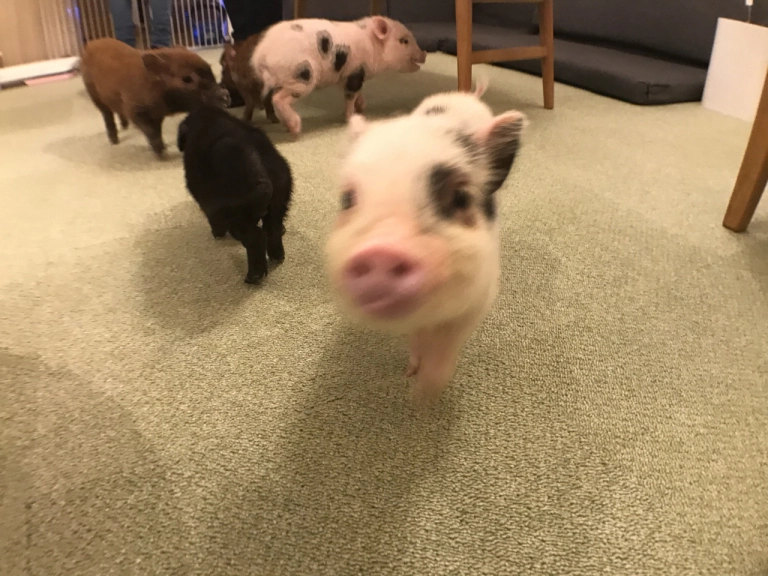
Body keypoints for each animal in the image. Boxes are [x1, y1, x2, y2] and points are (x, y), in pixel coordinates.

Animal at [80, 37, 230, 157]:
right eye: (187, 79)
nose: (225, 94)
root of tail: (91, 44)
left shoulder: (157, 115)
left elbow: (157, 130)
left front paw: (164, 148)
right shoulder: (135, 110)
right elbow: (151, 131)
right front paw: (162, 153)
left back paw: (125, 127)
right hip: (95, 96)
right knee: (107, 115)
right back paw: (114, 141)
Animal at [177, 105, 293, 284]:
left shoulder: (207, 200)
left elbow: (212, 219)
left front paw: (217, 233)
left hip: (236, 216)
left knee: (256, 238)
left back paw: (254, 275)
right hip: (280, 197)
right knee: (272, 229)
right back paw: (277, 255)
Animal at [250, 16, 427, 136]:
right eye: (404, 41)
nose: (425, 53)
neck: (372, 46)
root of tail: (260, 56)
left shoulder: (347, 76)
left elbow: (357, 93)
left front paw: (362, 107)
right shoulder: (355, 72)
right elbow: (350, 95)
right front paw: (350, 116)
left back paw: (287, 127)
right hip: (301, 76)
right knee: (278, 98)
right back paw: (296, 129)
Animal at [325, 91, 526, 400]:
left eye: (460, 197)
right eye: (347, 199)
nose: (381, 249)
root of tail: (462, 94)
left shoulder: (479, 301)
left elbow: (447, 346)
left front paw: (424, 396)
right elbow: (417, 338)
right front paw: (410, 374)